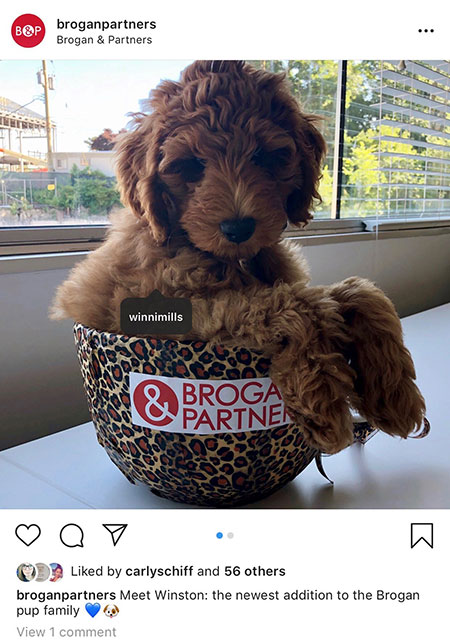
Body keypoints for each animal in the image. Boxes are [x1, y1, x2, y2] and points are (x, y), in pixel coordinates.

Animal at [52, 59, 426, 452]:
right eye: (191, 166)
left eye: (263, 157)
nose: (237, 228)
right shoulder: (170, 307)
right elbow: (295, 305)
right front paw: (322, 401)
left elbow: (357, 292)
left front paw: (394, 396)